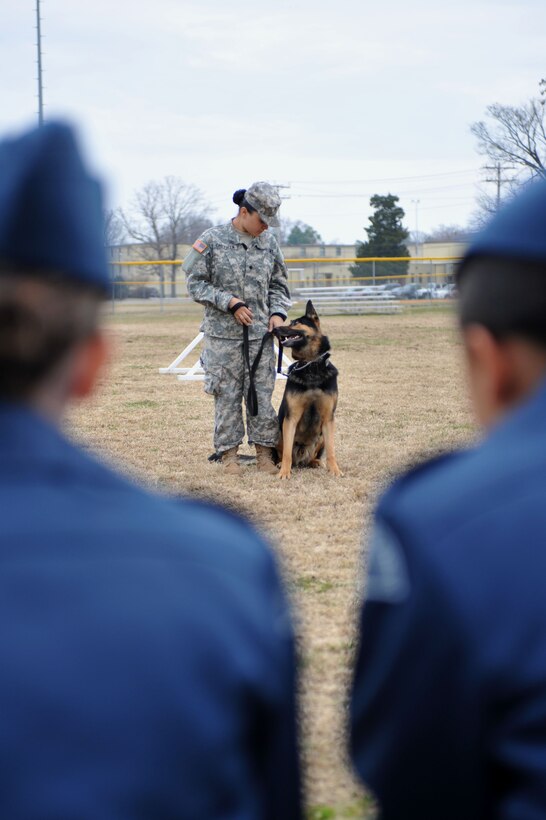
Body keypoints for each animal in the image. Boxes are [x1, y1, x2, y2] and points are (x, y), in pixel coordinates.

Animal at [276, 302, 340, 480]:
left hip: (321, 436)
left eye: (296, 323)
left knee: (315, 456)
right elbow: (287, 453)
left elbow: (331, 450)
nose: (274, 329)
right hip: (278, 431)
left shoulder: (328, 419)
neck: (311, 365)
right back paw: (280, 464)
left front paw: (335, 470)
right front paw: (284, 472)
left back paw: (316, 462)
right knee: (283, 452)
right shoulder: (291, 419)